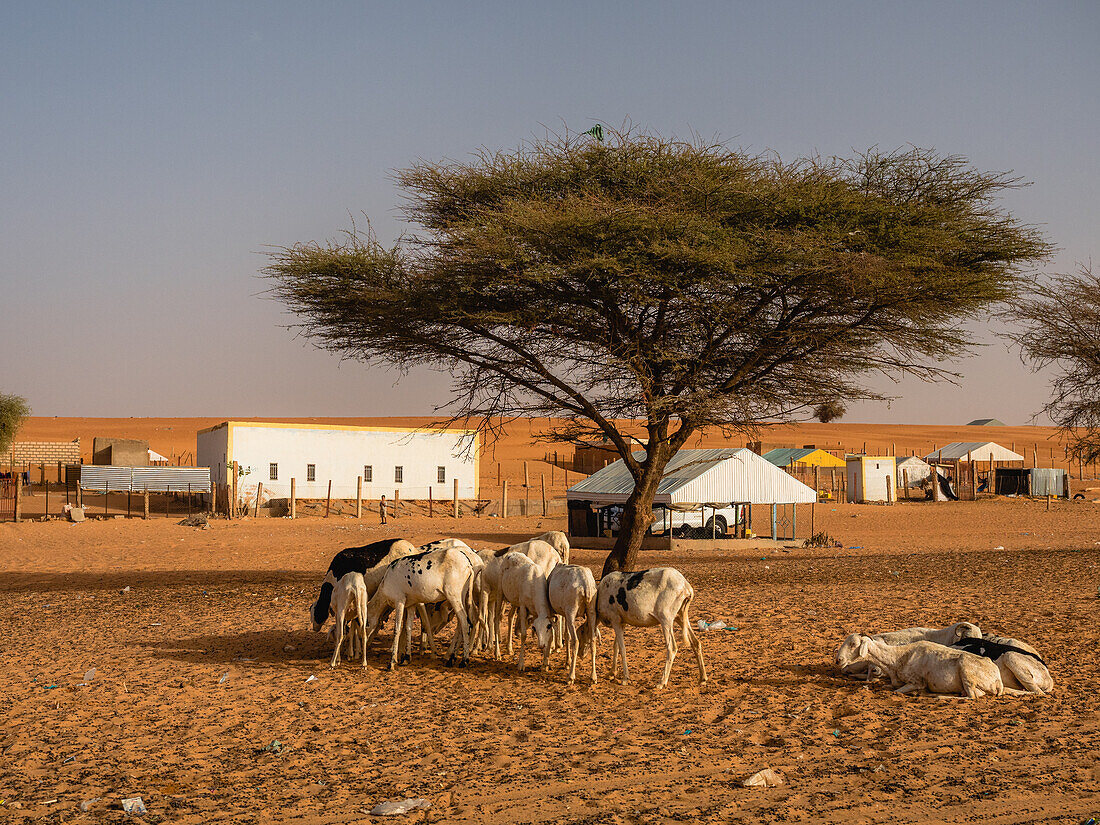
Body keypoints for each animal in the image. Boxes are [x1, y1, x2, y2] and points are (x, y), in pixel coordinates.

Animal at [849, 638, 1007, 699]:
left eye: (854, 644)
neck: (898, 657)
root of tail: (998, 680)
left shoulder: (916, 682)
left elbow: (896, 691)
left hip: (967, 671)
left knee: (972, 696)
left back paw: (938, 696)